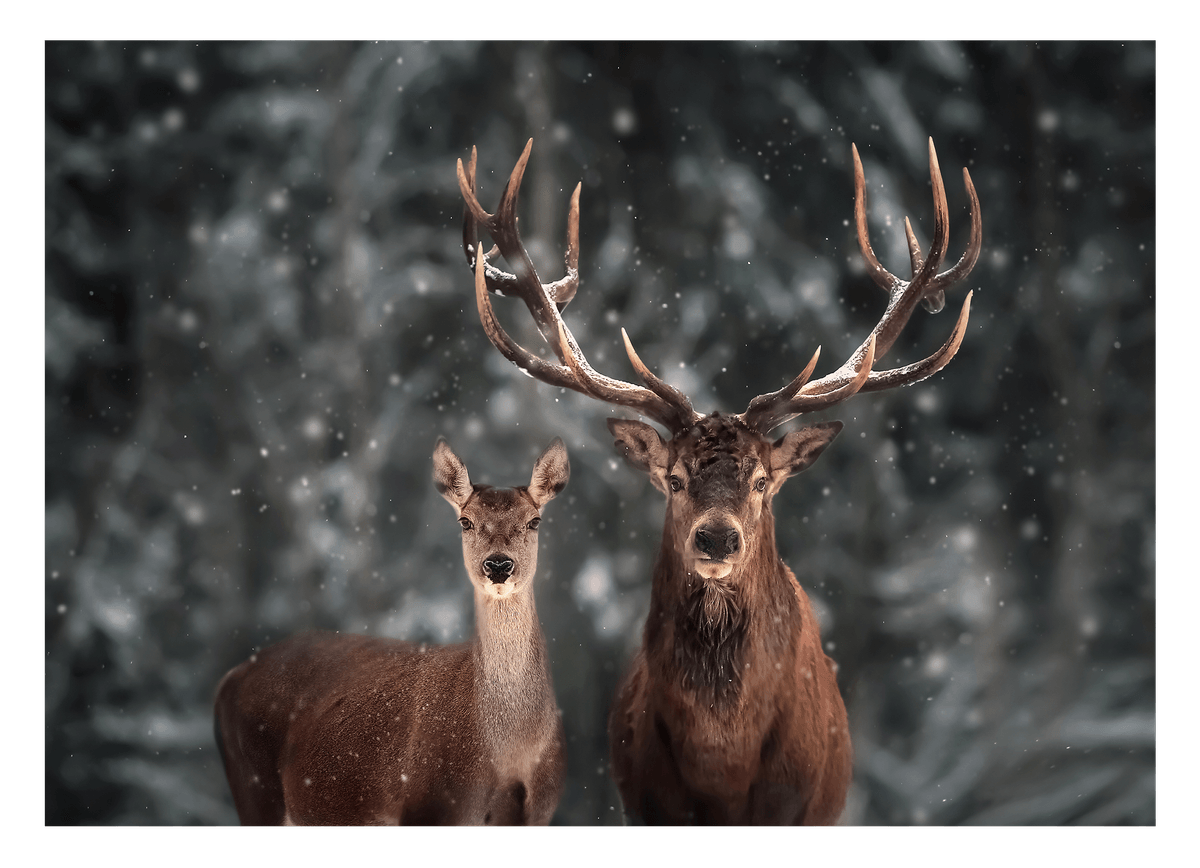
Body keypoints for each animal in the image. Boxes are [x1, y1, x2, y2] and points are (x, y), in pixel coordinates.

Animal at [213, 437, 571, 826]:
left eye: (534, 521)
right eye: (465, 521)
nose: (499, 564)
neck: (510, 753)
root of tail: (229, 678)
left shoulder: (540, 813)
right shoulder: (427, 805)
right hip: (253, 787)